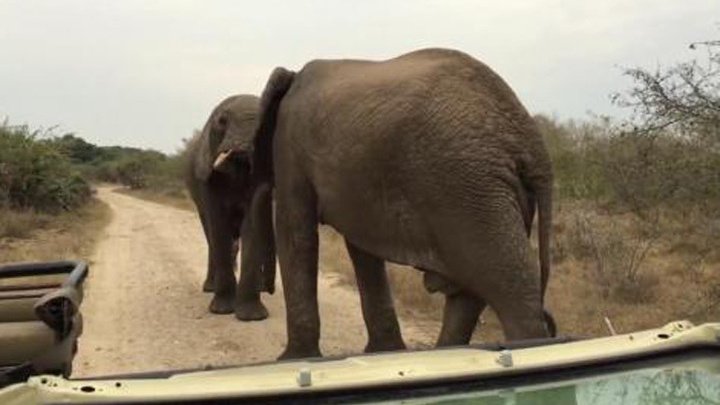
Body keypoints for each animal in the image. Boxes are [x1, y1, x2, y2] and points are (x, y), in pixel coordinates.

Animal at [184, 94, 278, 318]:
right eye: (222, 121)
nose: (243, 148)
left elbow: (251, 228)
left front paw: (253, 317)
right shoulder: (207, 177)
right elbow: (218, 227)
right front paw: (221, 310)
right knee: (210, 235)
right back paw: (210, 288)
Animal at [253, 48, 556, 356]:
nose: (265, 292)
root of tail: (533, 145)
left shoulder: (289, 144)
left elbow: (296, 234)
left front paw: (292, 359)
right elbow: (361, 247)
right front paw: (383, 352)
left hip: (470, 186)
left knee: (507, 286)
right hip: (486, 189)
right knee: (473, 292)